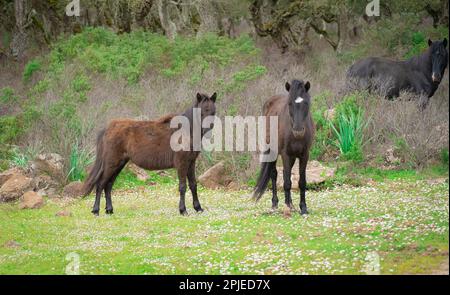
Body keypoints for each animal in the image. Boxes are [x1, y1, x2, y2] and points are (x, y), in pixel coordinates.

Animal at [85, 93, 219, 216]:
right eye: (201, 111)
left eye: (213, 111)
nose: (207, 131)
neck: (185, 131)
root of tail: (109, 128)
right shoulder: (182, 163)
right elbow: (182, 186)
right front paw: (183, 210)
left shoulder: (191, 163)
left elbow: (193, 185)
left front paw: (198, 208)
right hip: (112, 163)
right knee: (101, 184)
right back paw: (96, 210)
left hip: (119, 164)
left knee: (108, 185)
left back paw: (109, 210)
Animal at [253, 80, 316, 216]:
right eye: (290, 103)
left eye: (306, 103)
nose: (298, 130)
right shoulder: (285, 154)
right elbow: (287, 183)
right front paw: (287, 206)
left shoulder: (304, 155)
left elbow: (301, 182)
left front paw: (303, 208)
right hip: (274, 152)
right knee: (274, 174)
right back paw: (275, 203)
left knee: (285, 173)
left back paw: (291, 203)